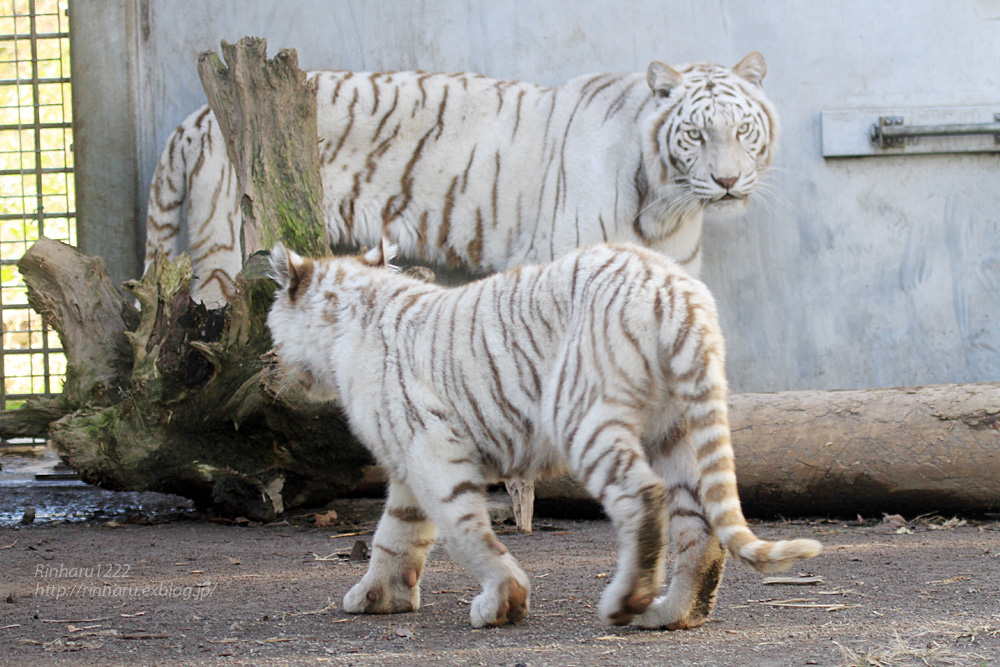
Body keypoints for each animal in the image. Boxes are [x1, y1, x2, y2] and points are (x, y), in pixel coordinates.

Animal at [148, 52, 776, 306]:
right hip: (227, 257)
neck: (669, 206)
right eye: (695, 135)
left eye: (742, 130)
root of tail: (196, 117)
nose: (727, 181)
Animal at [266, 243, 820, 628]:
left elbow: (463, 528)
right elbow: (396, 533)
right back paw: (671, 614)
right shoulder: (408, 463)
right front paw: (379, 597)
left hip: (579, 413)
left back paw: (625, 602)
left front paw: (502, 601)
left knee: (642, 496)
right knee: (699, 527)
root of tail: (671, 283)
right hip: (675, 428)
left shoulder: (431, 447)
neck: (351, 313)